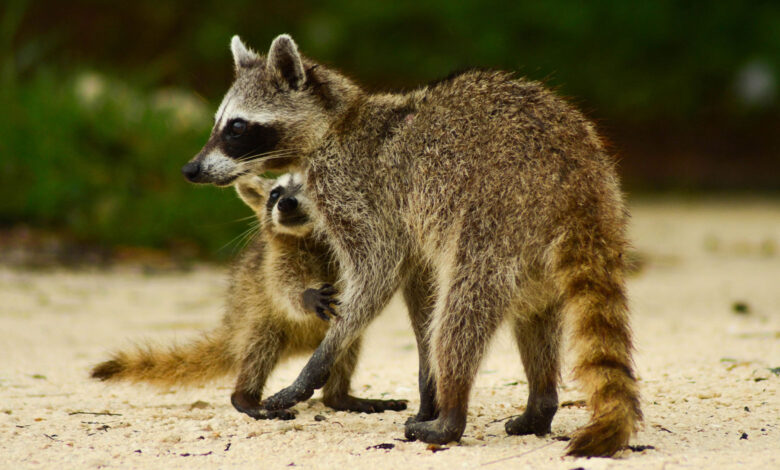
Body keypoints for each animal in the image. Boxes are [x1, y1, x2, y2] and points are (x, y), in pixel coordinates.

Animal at [91, 173, 407, 417]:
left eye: (307, 187)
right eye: (275, 193)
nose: (286, 203)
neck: (307, 238)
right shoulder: (273, 264)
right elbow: (284, 289)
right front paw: (306, 295)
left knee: (347, 345)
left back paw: (338, 395)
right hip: (256, 320)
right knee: (259, 349)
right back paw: (245, 396)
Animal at [182, 35, 642, 457]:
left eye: (236, 127)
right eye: (218, 123)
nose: (190, 169)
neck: (336, 125)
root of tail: (580, 187)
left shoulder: (359, 190)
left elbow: (377, 272)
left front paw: (322, 359)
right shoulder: (414, 229)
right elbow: (419, 299)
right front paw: (427, 388)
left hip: (495, 220)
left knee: (461, 313)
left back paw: (452, 416)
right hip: (537, 248)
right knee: (534, 318)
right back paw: (539, 403)